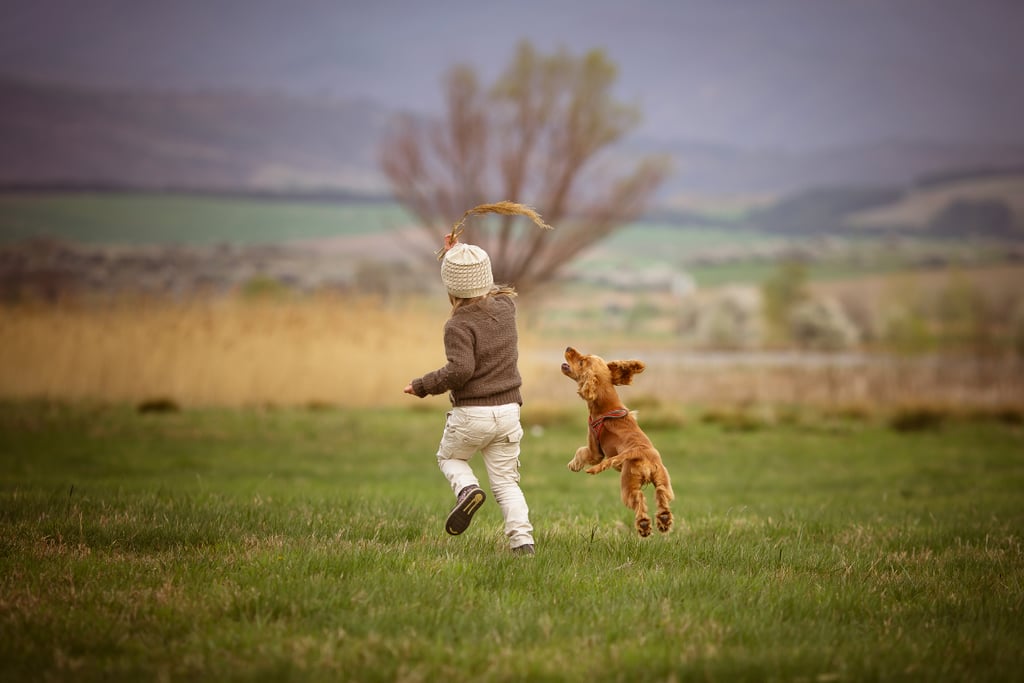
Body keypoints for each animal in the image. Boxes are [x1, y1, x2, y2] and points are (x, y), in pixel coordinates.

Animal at [561, 350, 671, 536]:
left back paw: (643, 525)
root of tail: (641, 452)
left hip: (628, 482)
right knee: (662, 493)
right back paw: (664, 520)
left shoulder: (595, 451)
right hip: (662, 476)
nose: (569, 347)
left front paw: (573, 465)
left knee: (638, 499)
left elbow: (581, 451)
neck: (606, 403)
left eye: (582, 361)